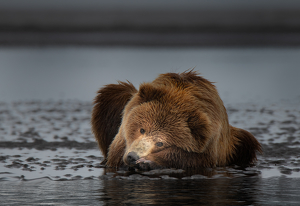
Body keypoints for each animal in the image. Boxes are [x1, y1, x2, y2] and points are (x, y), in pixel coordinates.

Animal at [91, 71, 260, 169]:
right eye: (141, 129)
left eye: (161, 143)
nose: (133, 156)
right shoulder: (121, 139)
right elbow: (115, 157)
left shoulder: (210, 143)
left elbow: (193, 159)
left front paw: (148, 161)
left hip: (234, 143)